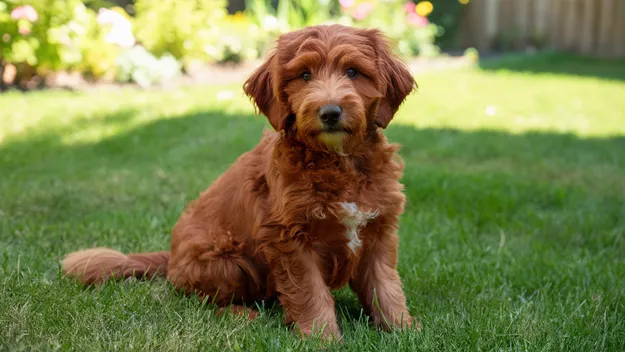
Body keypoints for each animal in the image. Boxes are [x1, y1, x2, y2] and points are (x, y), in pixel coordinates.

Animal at [62, 23, 414, 340]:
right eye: (304, 75)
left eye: (353, 72)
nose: (330, 112)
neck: (338, 160)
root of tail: (171, 260)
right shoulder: (289, 238)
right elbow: (310, 291)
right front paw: (321, 336)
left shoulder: (379, 231)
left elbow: (385, 285)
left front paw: (402, 329)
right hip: (228, 260)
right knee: (201, 301)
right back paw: (243, 314)